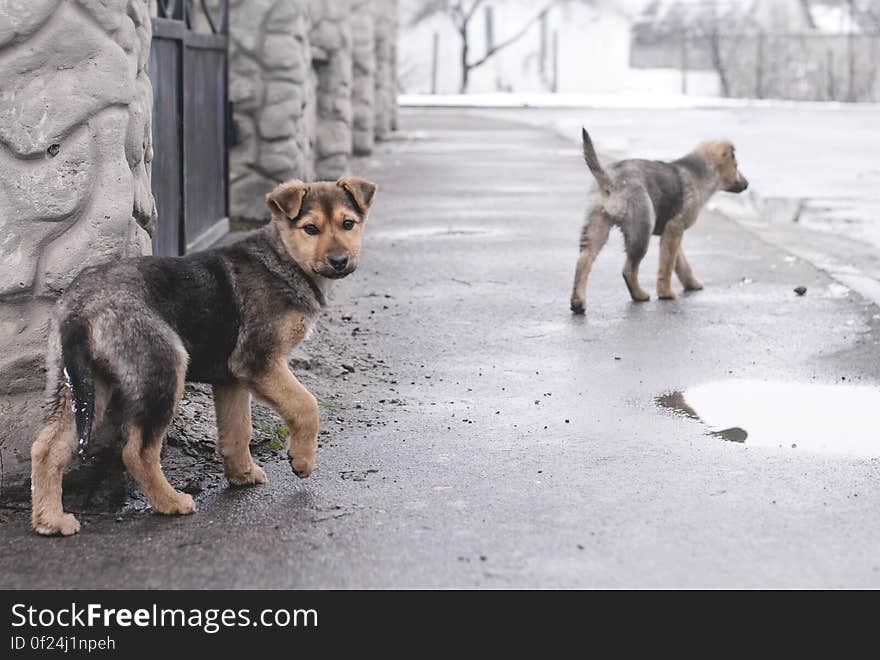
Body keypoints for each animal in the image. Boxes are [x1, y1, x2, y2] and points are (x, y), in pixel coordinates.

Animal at [28, 177, 374, 536]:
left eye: (348, 224)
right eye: (310, 228)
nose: (339, 260)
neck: (283, 260)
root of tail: (81, 308)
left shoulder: (232, 378)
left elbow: (238, 431)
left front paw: (242, 475)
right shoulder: (258, 360)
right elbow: (306, 405)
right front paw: (302, 461)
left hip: (81, 384)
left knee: (46, 447)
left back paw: (49, 519)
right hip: (163, 370)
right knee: (137, 452)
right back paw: (171, 502)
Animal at [572, 130, 748, 316]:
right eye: (736, 166)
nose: (747, 184)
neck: (697, 174)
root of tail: (610, 179)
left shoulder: (672, 233)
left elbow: (681, 263)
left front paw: (691, 283)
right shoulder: (674, 228)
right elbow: (667, 265)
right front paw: (665, 293)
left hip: (596, 227)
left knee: (583, 262)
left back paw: (578, 302)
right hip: (641, 229)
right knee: (628, 269)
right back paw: (639, 295)